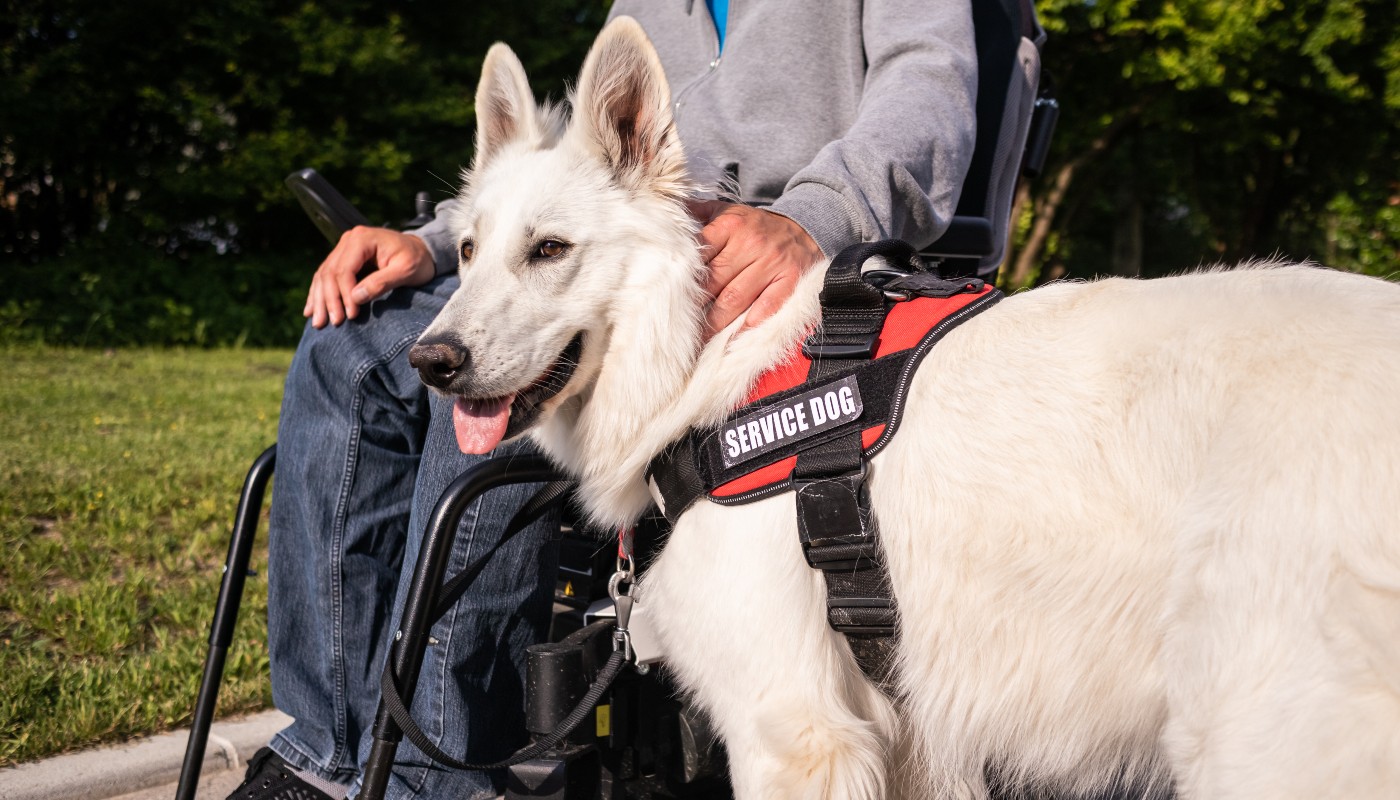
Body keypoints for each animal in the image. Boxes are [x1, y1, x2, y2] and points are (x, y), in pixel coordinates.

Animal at [408, 18, 1400, 800]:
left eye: (549, 250)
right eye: (468, 250)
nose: (429, 361)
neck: (702, 356)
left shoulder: (792, 731)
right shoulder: (910, 742)